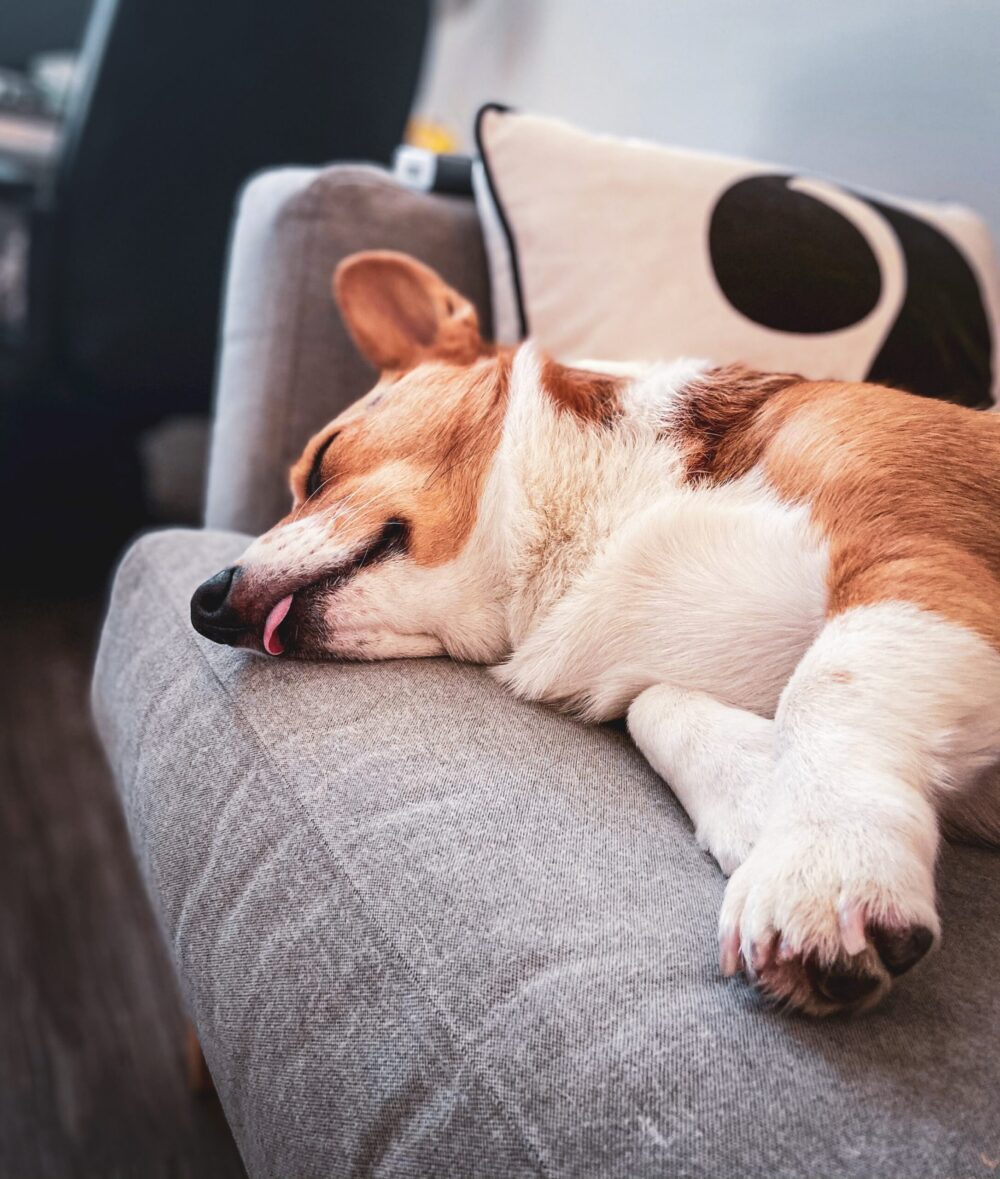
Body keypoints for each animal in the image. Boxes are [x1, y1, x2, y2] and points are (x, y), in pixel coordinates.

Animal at [189, 246, 999, 1013]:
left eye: (321, 464)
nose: (204, 601)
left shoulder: (914, 554)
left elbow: (826, 685)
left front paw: (824, 866)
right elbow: (657, 707)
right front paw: (760, 804)